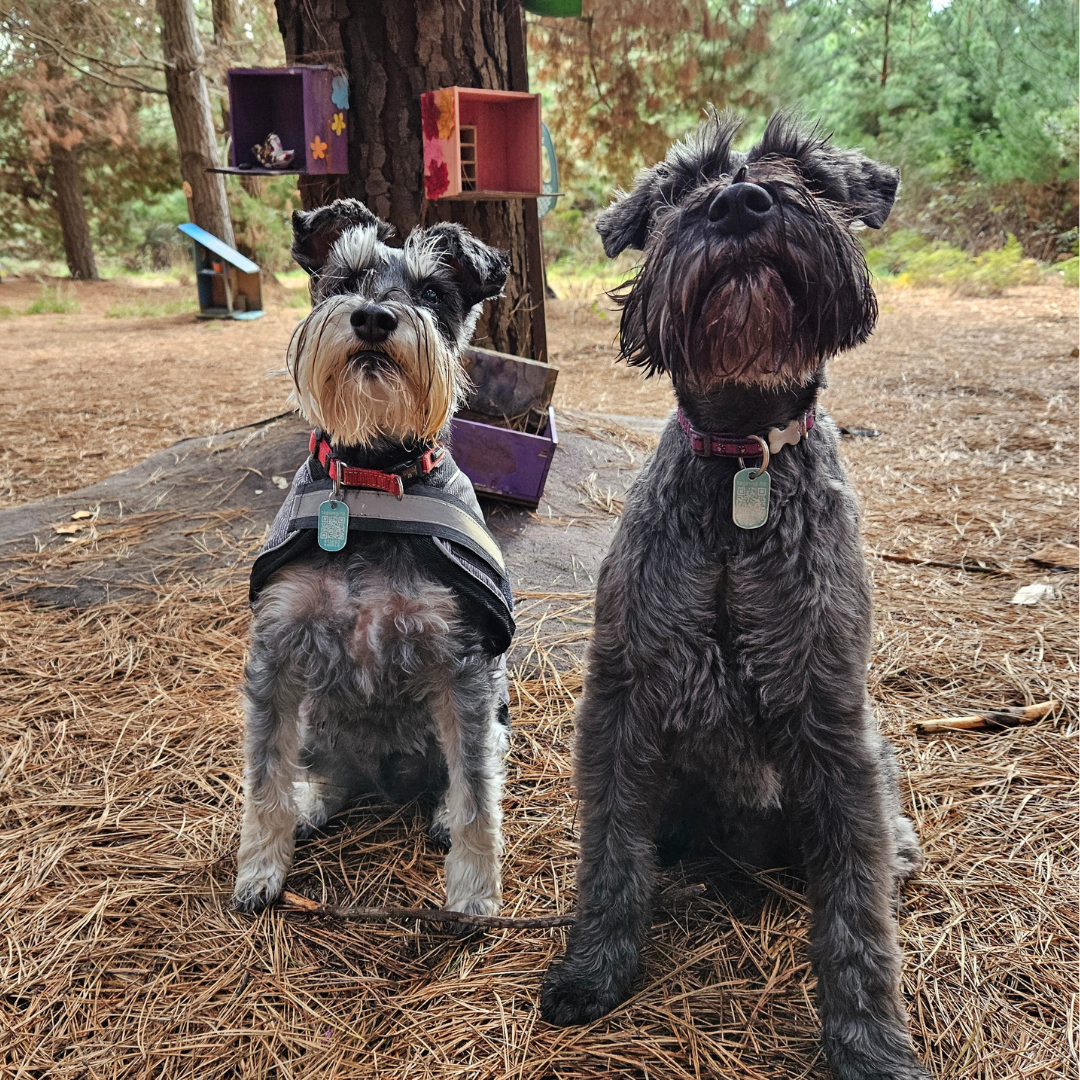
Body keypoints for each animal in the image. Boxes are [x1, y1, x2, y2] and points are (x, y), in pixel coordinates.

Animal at [231, 200, 514, 920]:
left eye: (433, 293)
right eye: (346, 278)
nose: (374, 318)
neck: (373, 481)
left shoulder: (465, 666)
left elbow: (477, 791)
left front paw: (473, 892)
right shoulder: (276, 655)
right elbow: (264, 776)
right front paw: (260, 869)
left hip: (494, 717)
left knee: (464, 777)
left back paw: (438, 814)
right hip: (317, 722)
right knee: (320, 772)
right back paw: (312, 804)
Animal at [544, 111, 933, 1080]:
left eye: (804, 172)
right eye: (683, 186)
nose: (740, 204)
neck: (739, 472)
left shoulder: (834, 727)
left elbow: (855, 914)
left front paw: (870, 1044)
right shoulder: (624, 702)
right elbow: (611, 852)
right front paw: (595, 968)